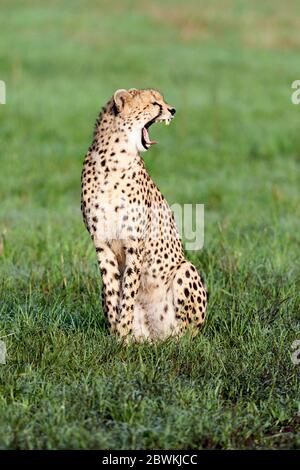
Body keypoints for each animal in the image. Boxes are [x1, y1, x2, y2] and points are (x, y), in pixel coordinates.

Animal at [79, 88, 207, 340]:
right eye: (154, 103)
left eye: (162, 101)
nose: (172, 110)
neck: (113, 161)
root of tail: (158, 338)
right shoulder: (101, 244)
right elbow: (113, 292)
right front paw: (117, 335)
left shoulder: (134, 242)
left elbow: (128, 290)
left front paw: (122, 334)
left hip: (185, 269)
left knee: (187, 334)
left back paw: (178, 341)